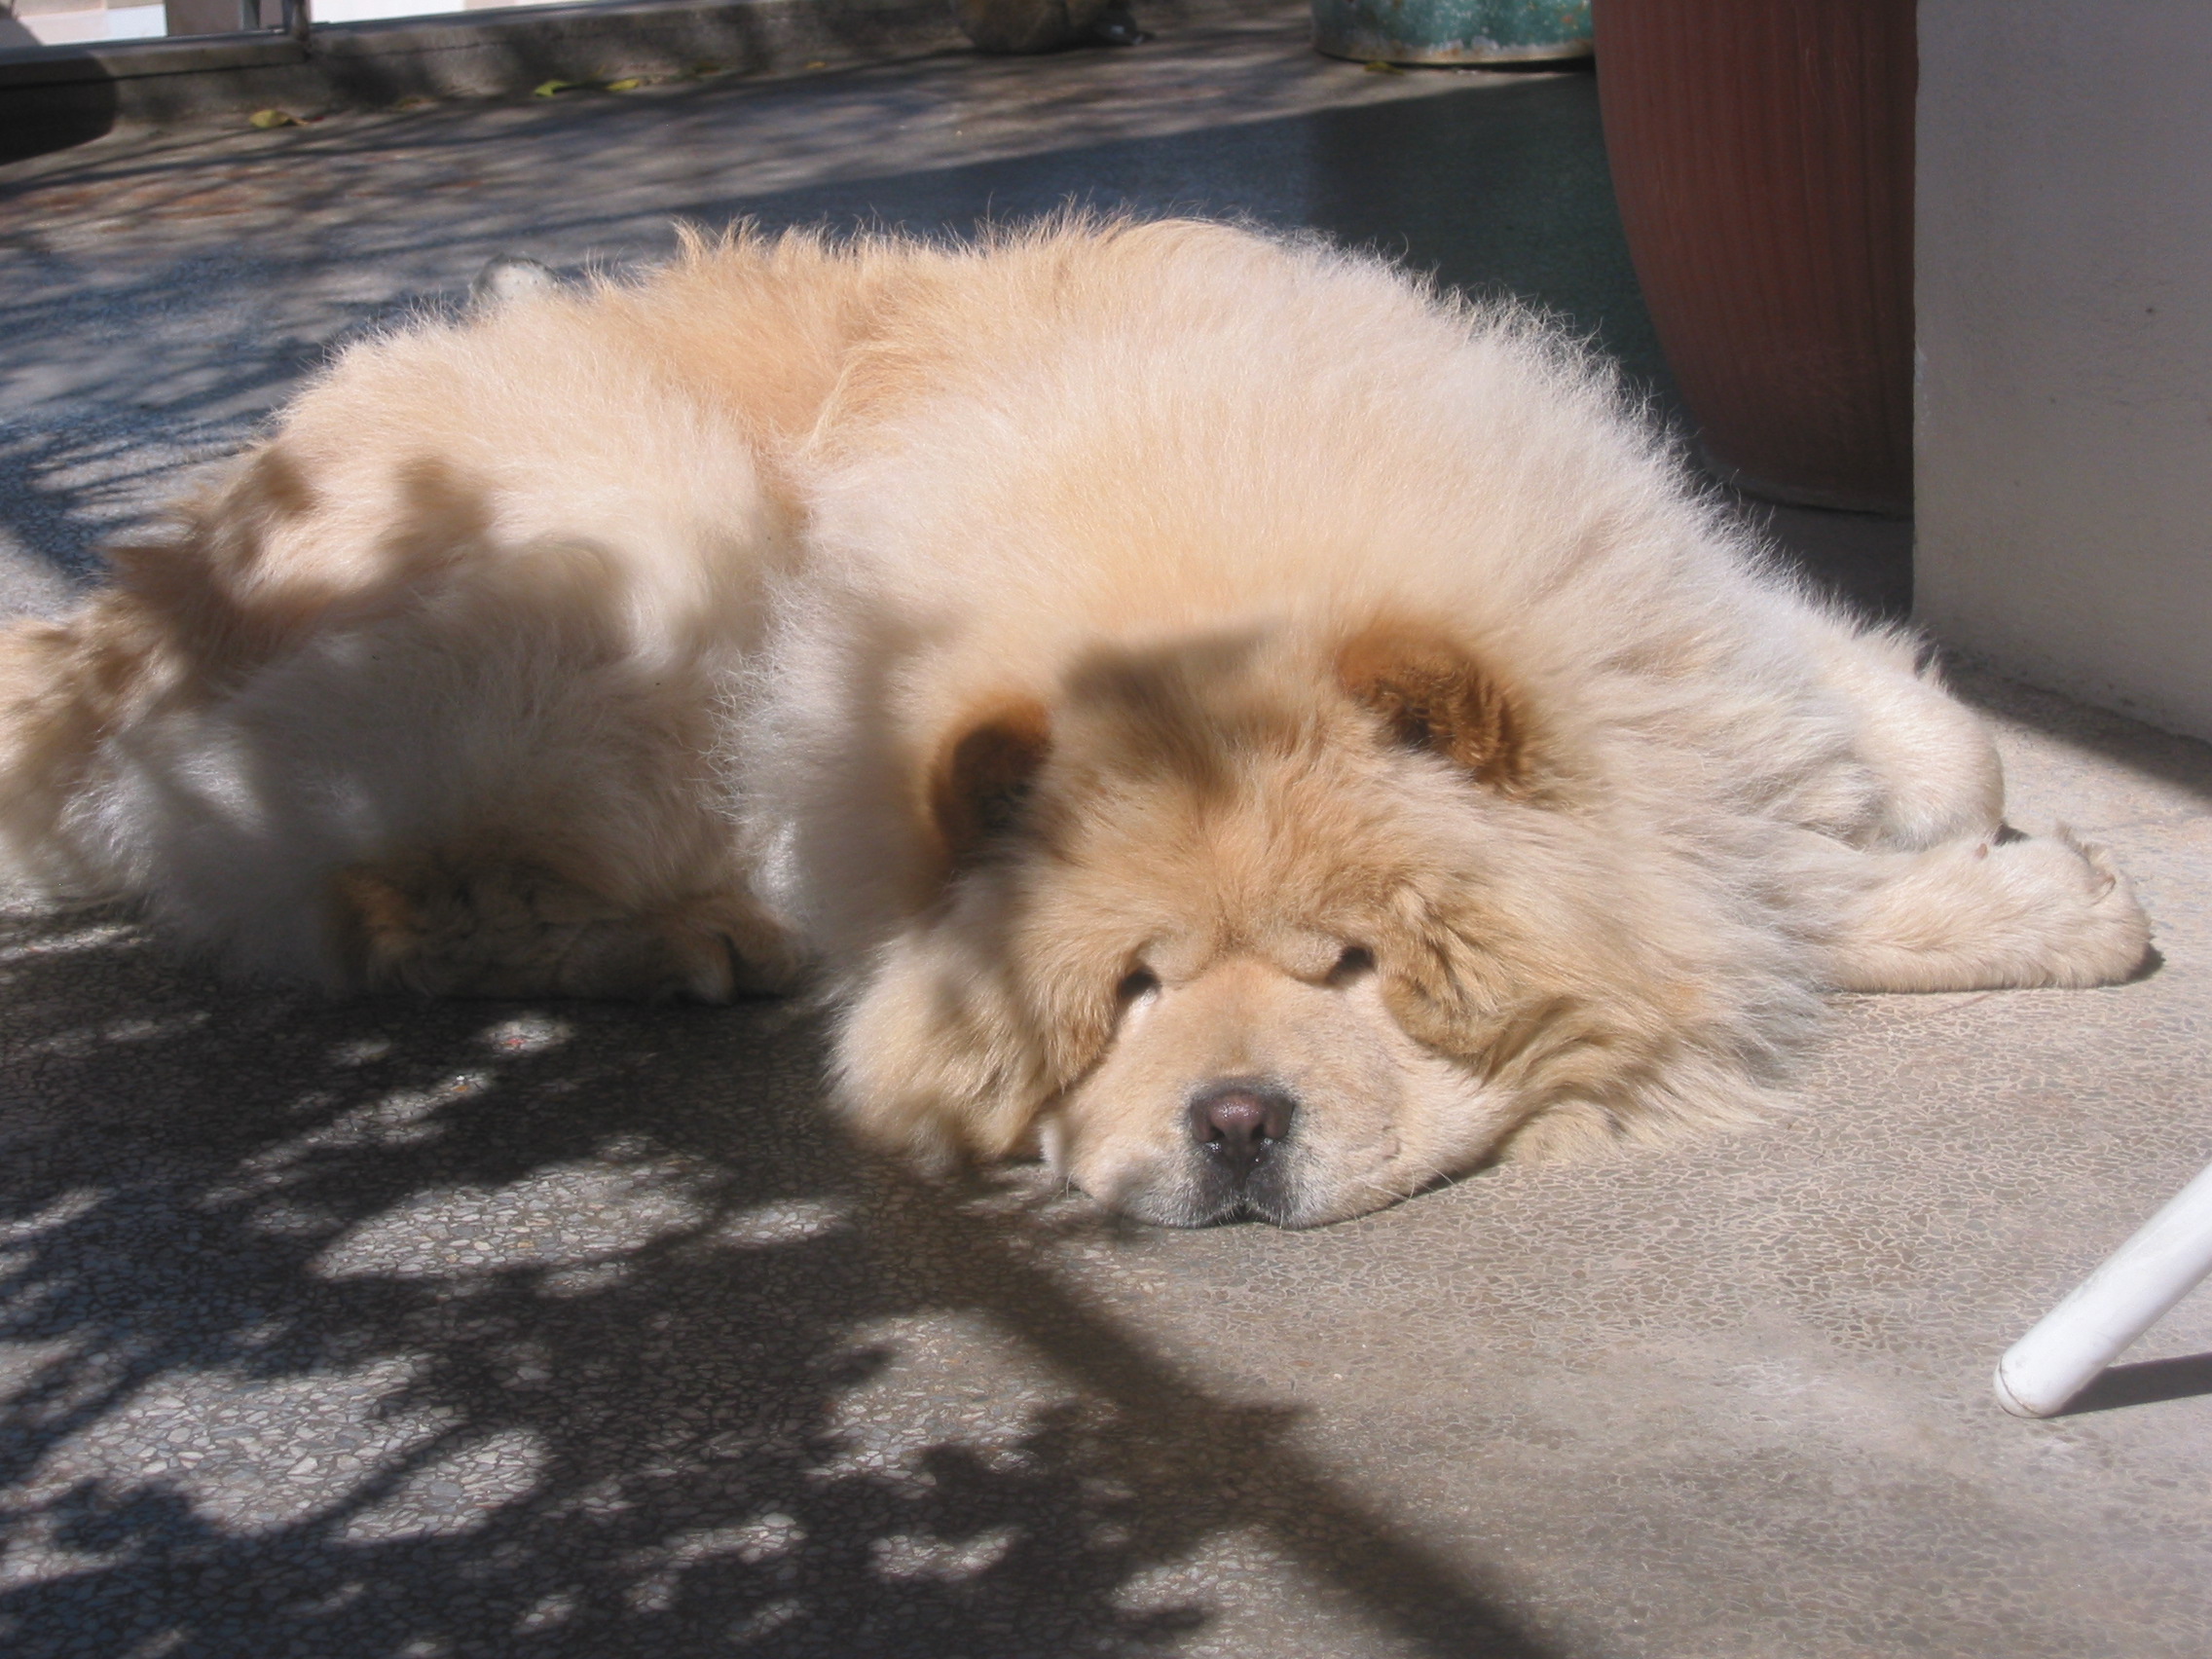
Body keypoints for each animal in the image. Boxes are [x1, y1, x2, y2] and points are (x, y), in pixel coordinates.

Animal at [0, 221, 2150, 1230]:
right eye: (1125, 991)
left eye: (1350, 963)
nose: (1234, 1120)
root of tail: (147, 581)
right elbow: (1751, 902)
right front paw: (2024, 904)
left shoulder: (1678, 617)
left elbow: (1898, 754)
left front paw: (1973, 848)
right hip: (636, 535)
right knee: (394, 906)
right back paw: (696, 934)